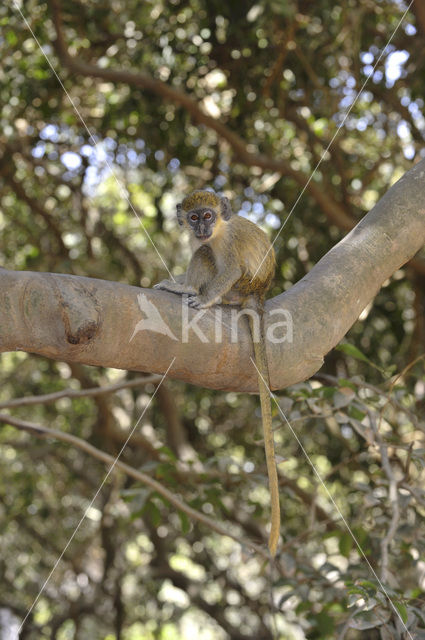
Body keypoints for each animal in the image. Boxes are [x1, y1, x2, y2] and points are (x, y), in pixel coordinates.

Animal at [154, 189, 280, 556]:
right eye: (194, 217)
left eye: (208, 216)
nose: (201, 229)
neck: (220, 230)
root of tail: (258, 294)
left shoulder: (227, 247)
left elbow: (229, 266)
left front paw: (199, 296)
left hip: (239, 289)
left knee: (207, 256)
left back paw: (193, 291)